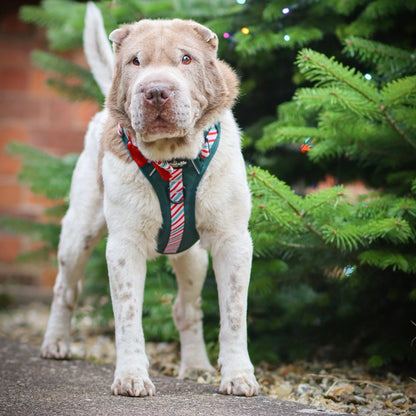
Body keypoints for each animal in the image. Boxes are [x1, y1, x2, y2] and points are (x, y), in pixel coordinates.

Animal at [40, 2, 258, 396]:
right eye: (135, 61)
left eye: (186, 58)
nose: (156, 91)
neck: (174, 156)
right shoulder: (123, 246)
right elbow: (128, 316)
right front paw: (130, 377)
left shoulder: (233, 240)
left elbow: (234, 312)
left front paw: (237, 376)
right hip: (79, 231)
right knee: (66, 287)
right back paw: (56, 343)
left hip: (193, 257)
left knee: (186, 308)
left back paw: (196, 365)